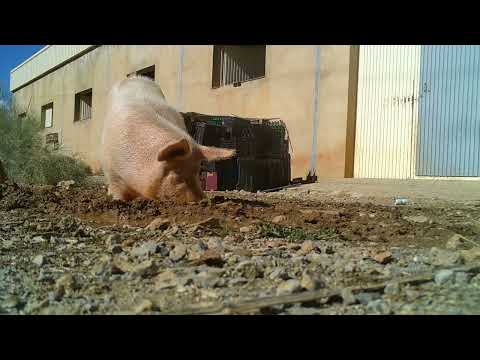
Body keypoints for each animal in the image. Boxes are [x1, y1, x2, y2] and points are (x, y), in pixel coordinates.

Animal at [102, 75, 235, 202]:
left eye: (197, 171)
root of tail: (135, 77)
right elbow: (117, 190)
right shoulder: (111, 170)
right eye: (177, 173)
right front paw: (117, 200)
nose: (202, 201)